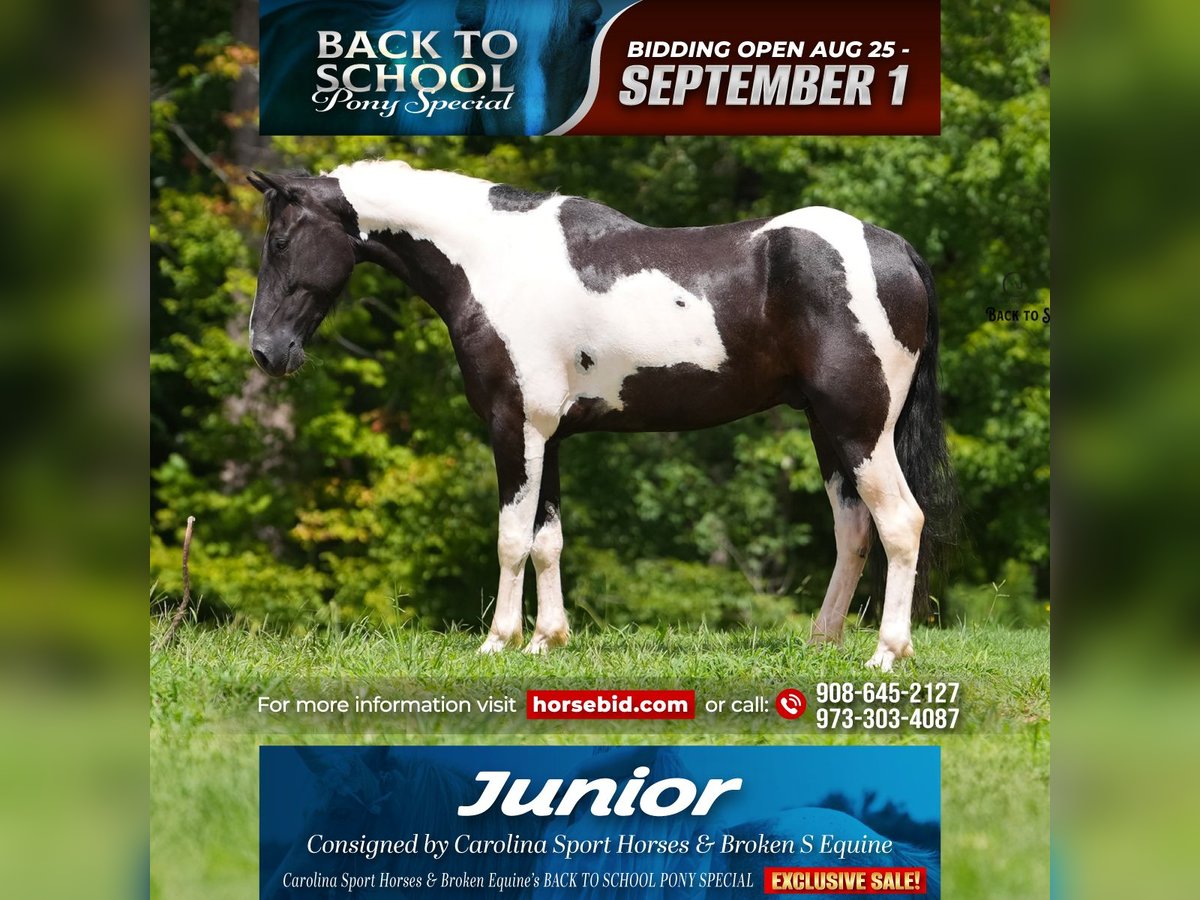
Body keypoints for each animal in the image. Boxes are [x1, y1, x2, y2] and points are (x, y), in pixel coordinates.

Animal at [246, 159, 956, 670]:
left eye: (280, 241)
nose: (266, 350)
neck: (493, 261)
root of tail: (895, 248)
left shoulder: (514, 427)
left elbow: (511, 537)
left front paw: (499, 641)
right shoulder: (550, 435)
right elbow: (547, 539)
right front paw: (547, 640)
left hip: (860, 429)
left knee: (901, 523)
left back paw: (886, 654)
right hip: (827, 430)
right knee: (854, 530)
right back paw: (824, 640)